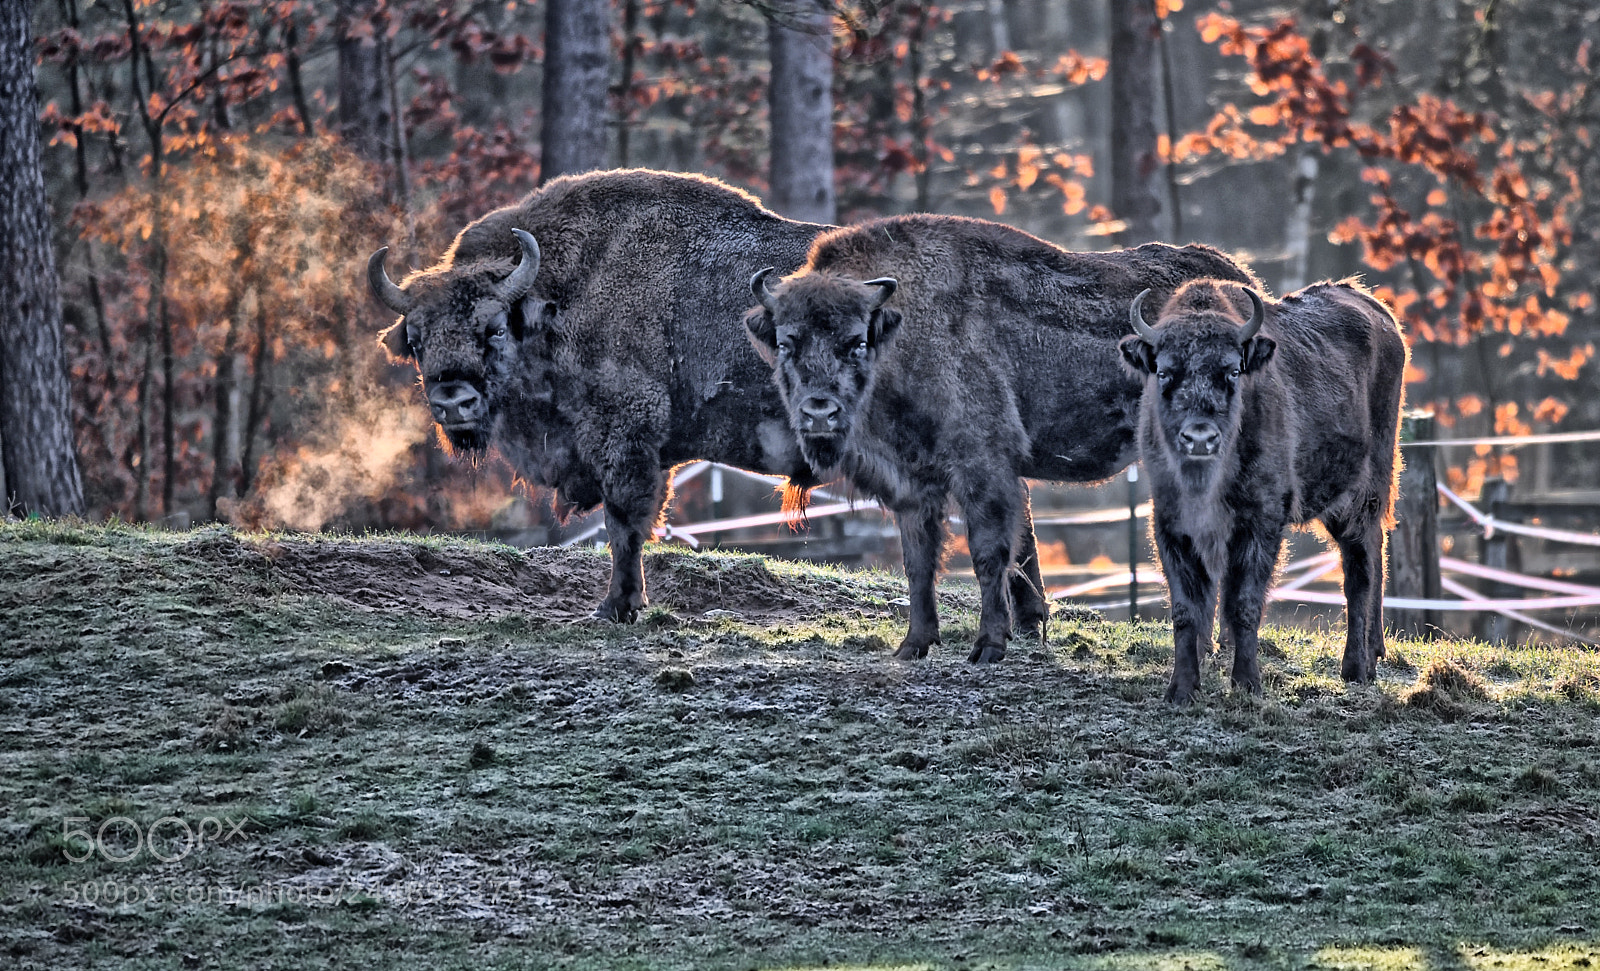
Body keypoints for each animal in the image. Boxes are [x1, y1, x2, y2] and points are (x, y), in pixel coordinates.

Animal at [368, 169, 840, 621]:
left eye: (496, 328)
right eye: (417, 340)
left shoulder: (624, 438)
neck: (560, 298)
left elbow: (623, 525)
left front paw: (615, 607)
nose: (453, 402)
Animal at [744, 214, 1258, 663]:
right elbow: (919, 562)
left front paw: (988, 647)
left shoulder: (982, 467)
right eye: (787, 342)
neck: (903, 328)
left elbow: (988, 554)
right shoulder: (912, 484)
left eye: (856, 341)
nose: (819, 411)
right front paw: (913, 645)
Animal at [1118, 279, 1407, 702]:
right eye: (1165, 372)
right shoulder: (1172, 524)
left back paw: (1356, 668)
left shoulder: (1262, 520)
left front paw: (1246, 683)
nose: (1199, 438)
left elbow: (1244, 603)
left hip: (1364, 494)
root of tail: (1380, 314)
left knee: (1361, 568)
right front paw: (1182, 689)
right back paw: (1372, 654)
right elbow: (1187, 608)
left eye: (1233, 371)